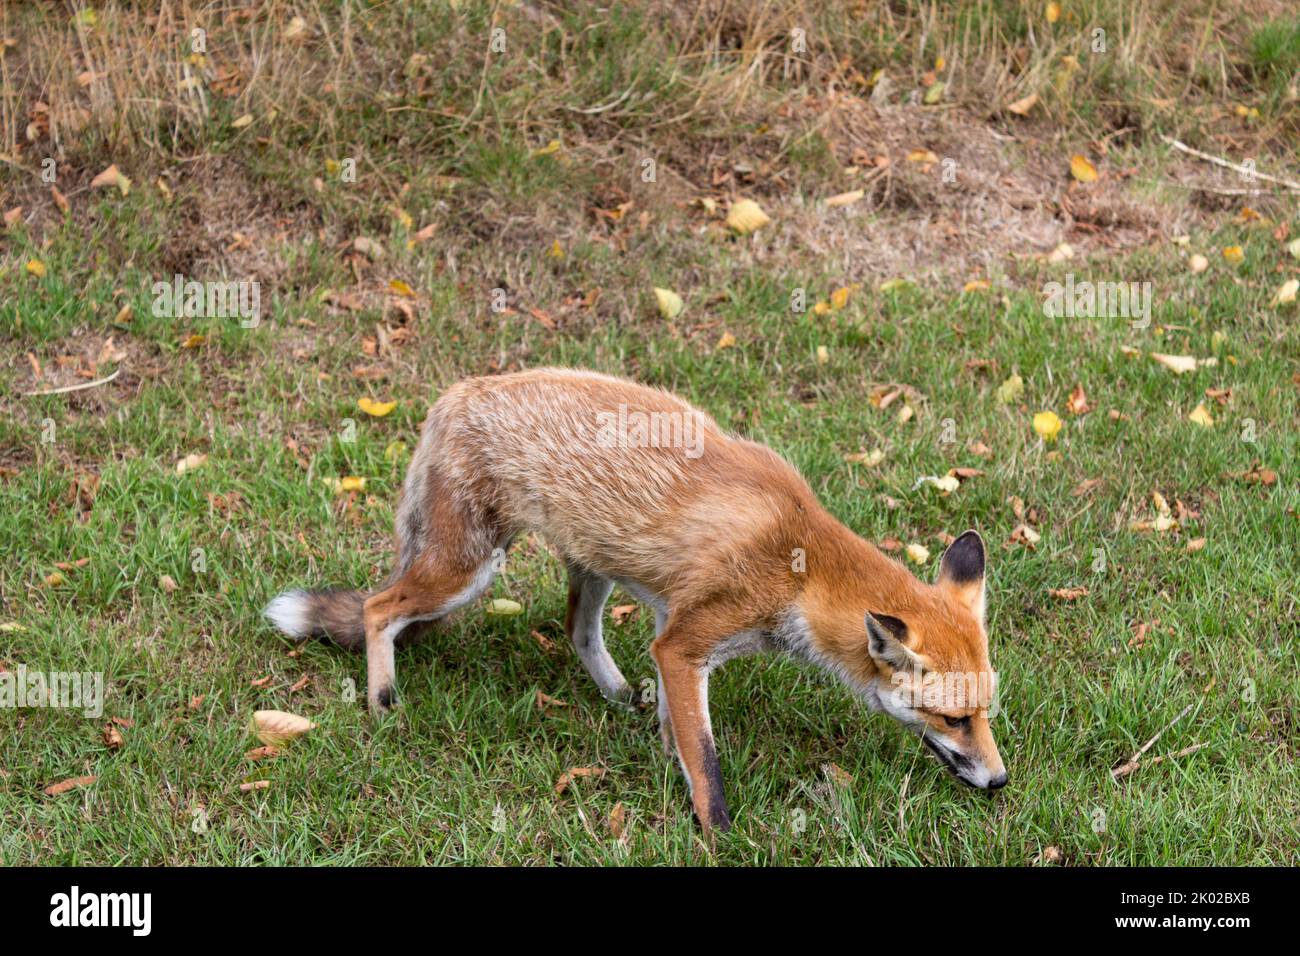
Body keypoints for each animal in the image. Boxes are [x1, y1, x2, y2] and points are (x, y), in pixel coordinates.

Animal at [263, 366, 1003, 832]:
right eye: (953, 719)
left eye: (983, 714)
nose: (999, 782)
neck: (800, 562)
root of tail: (459, 392)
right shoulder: (685, 641)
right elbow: (704, 758)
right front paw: (718, 832)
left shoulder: (670, 629)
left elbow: (678, 729)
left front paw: (666, 756)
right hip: (465, 569)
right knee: (377, 609)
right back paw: (382, 702)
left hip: (592, 568)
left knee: (576, 631)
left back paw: (618, 695)